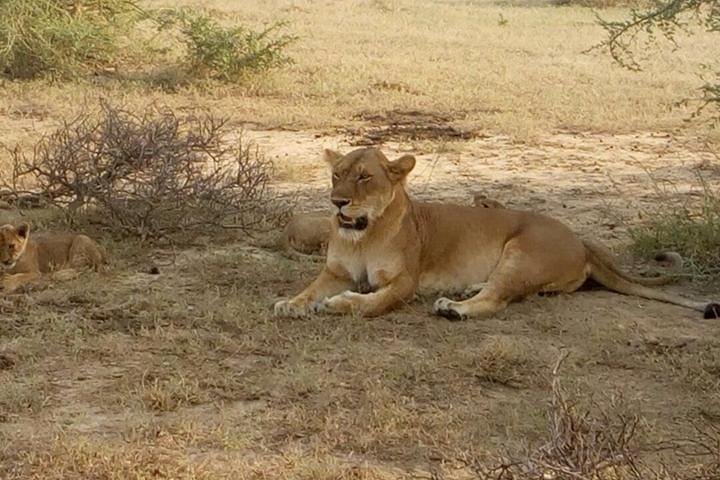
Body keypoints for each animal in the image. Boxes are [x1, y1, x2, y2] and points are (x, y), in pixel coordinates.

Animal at [273, 147, 720, 320]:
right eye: (337, 174)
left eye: (364, 178)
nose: (336, 202)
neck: (364, 236)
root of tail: (580, 240)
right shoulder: (335, 272)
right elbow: (310, 289)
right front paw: (290, 303)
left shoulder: (404, 282)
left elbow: (372, 301)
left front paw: (340, 304)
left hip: (521, 252)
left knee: (497, 300)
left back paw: (454, 308)